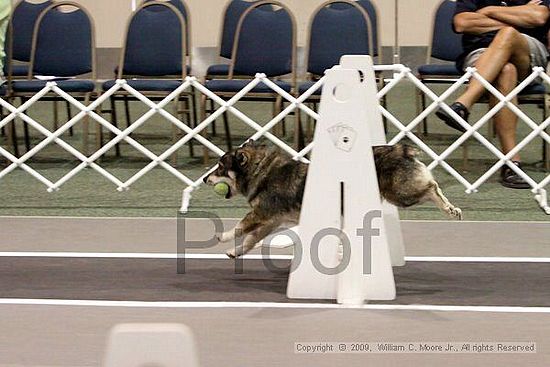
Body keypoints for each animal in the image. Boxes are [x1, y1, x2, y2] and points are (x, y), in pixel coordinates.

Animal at [205, 141, 464, 258]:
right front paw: (235, 252)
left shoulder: (261, 214)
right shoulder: (271, 221)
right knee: (431, 186)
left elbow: (240, 227)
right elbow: (251, 239)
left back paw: (451, 209)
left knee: (432, 187)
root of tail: (401, 149)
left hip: (401, 193)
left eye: (220, 167)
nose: (206, 179)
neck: (260, 170)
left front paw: (222, 237)